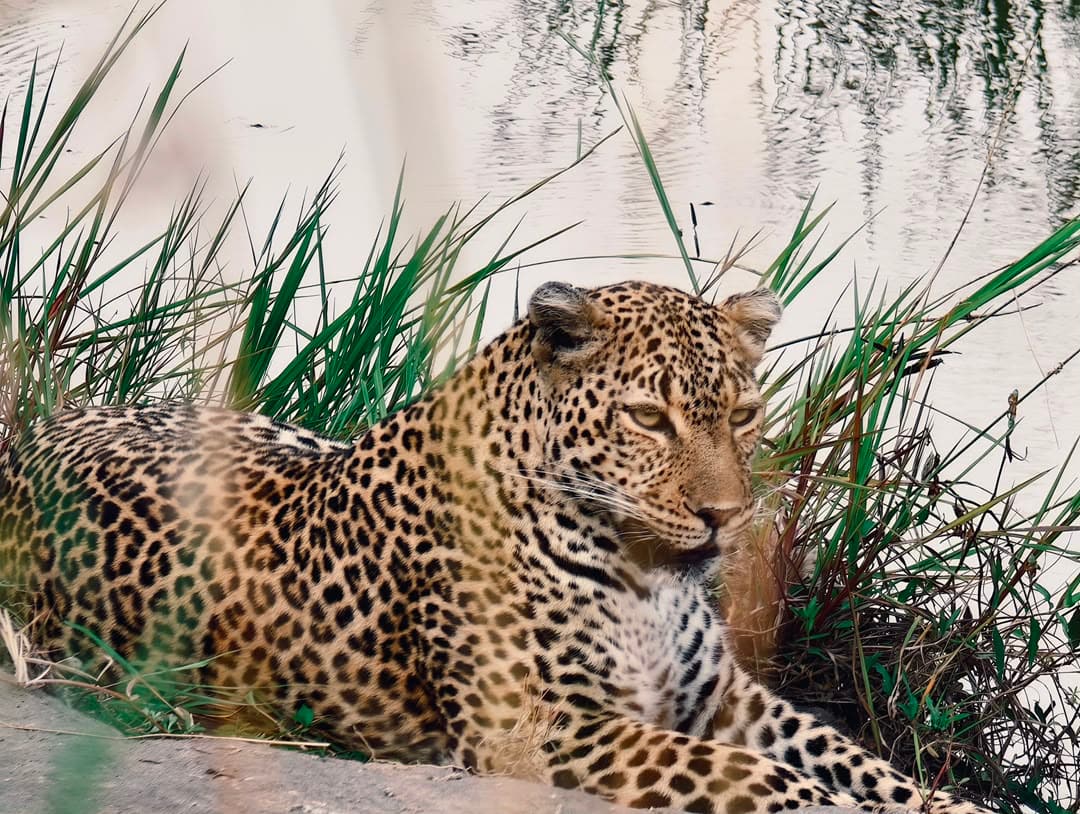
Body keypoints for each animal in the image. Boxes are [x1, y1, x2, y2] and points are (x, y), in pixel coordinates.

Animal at [0, 280, 988, 814]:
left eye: (741, 415)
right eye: (648, 418)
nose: (724, 517)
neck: (646, 578)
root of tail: (42, 428)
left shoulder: (726, 699)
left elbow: (853, 757)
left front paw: (951, 801)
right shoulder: (539, 729)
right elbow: (762, 777)